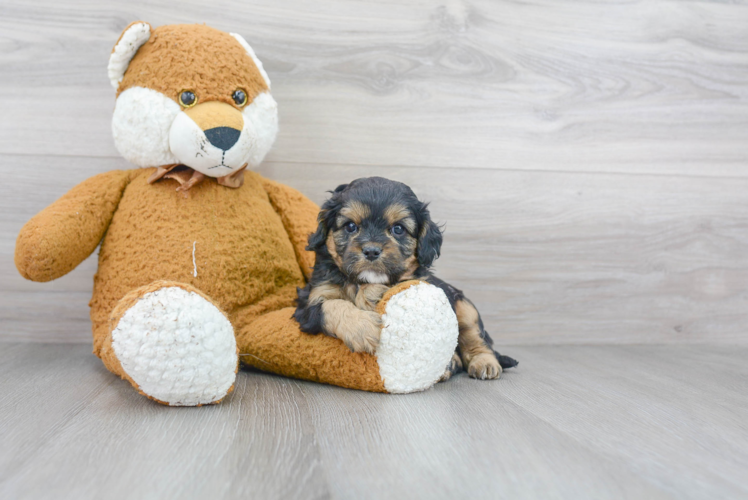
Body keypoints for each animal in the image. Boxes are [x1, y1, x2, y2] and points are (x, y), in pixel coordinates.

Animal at [296, 178, 516, 380]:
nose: (371, 251)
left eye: (398, 229)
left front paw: (371, 294)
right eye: (350, 226)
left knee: (476, 339)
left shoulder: (420, 284)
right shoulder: (310, 301)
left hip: (465, 307)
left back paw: (483, 362)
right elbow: (332, 305)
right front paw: (362, 327)